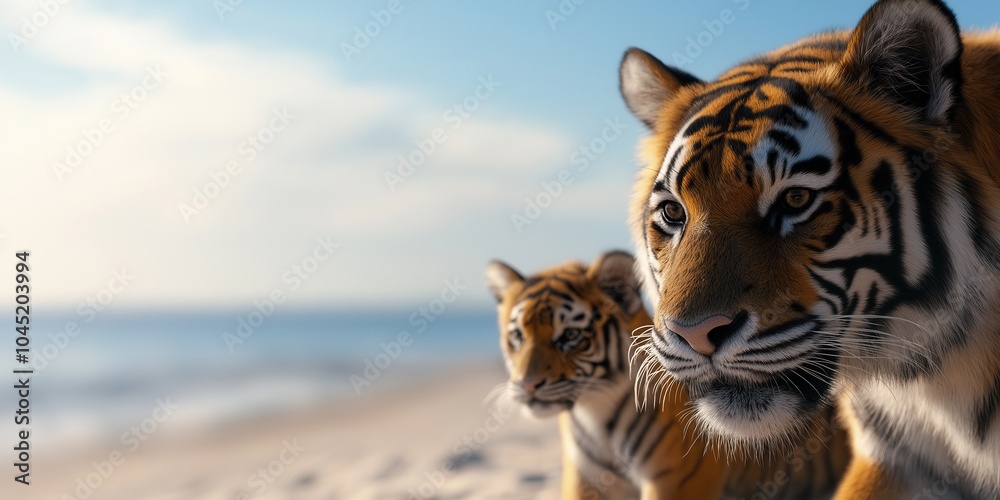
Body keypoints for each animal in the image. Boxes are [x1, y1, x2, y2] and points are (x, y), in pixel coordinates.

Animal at [486, 251, 850, 499]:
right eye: (517, 336)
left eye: (570, 337)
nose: (528, 384)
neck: (596, 415)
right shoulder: (584, 482)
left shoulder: (675, 480)